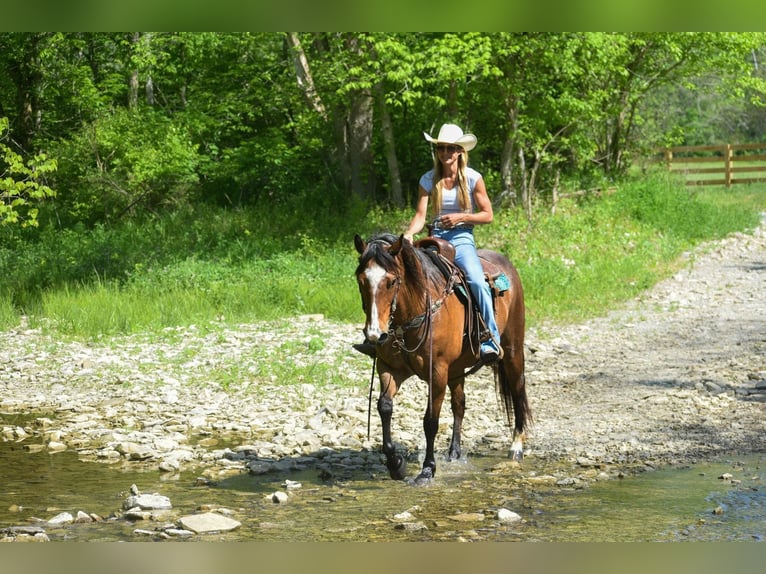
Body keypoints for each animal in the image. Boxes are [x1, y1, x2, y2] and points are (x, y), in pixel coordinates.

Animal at [356, 232, 532, 484]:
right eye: (361, 280)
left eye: (391, 281)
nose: (374, 334)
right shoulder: (389, 367)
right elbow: (385, 407)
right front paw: (396, 464)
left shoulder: (437, 372)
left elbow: (430, 420)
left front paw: (427, 469)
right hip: (457, 369)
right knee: (459, 404)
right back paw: (454, 453)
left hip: (513, 351)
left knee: (518, 391)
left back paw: (516, 446)